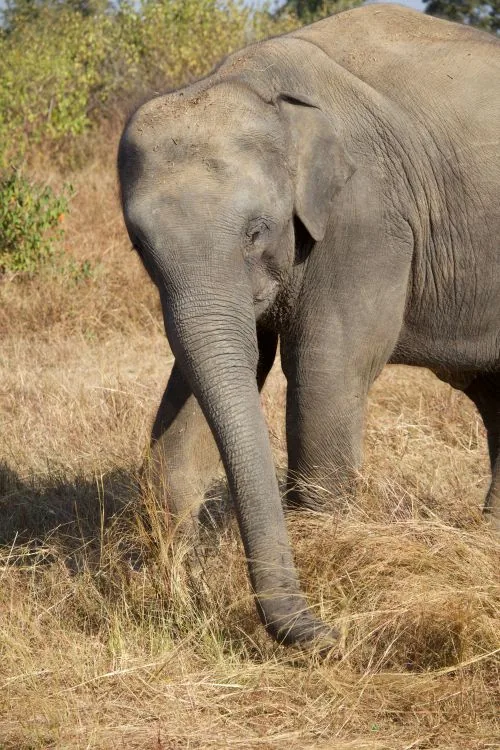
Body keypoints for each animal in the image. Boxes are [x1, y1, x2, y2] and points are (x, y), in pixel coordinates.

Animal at [118, 5, 500, 649]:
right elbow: (213, 380)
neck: (261, 84)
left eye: (256, 231)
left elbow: (324, 377)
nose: (329, 633)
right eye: (140, 247)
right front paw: (173, 588)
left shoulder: (366, 218)